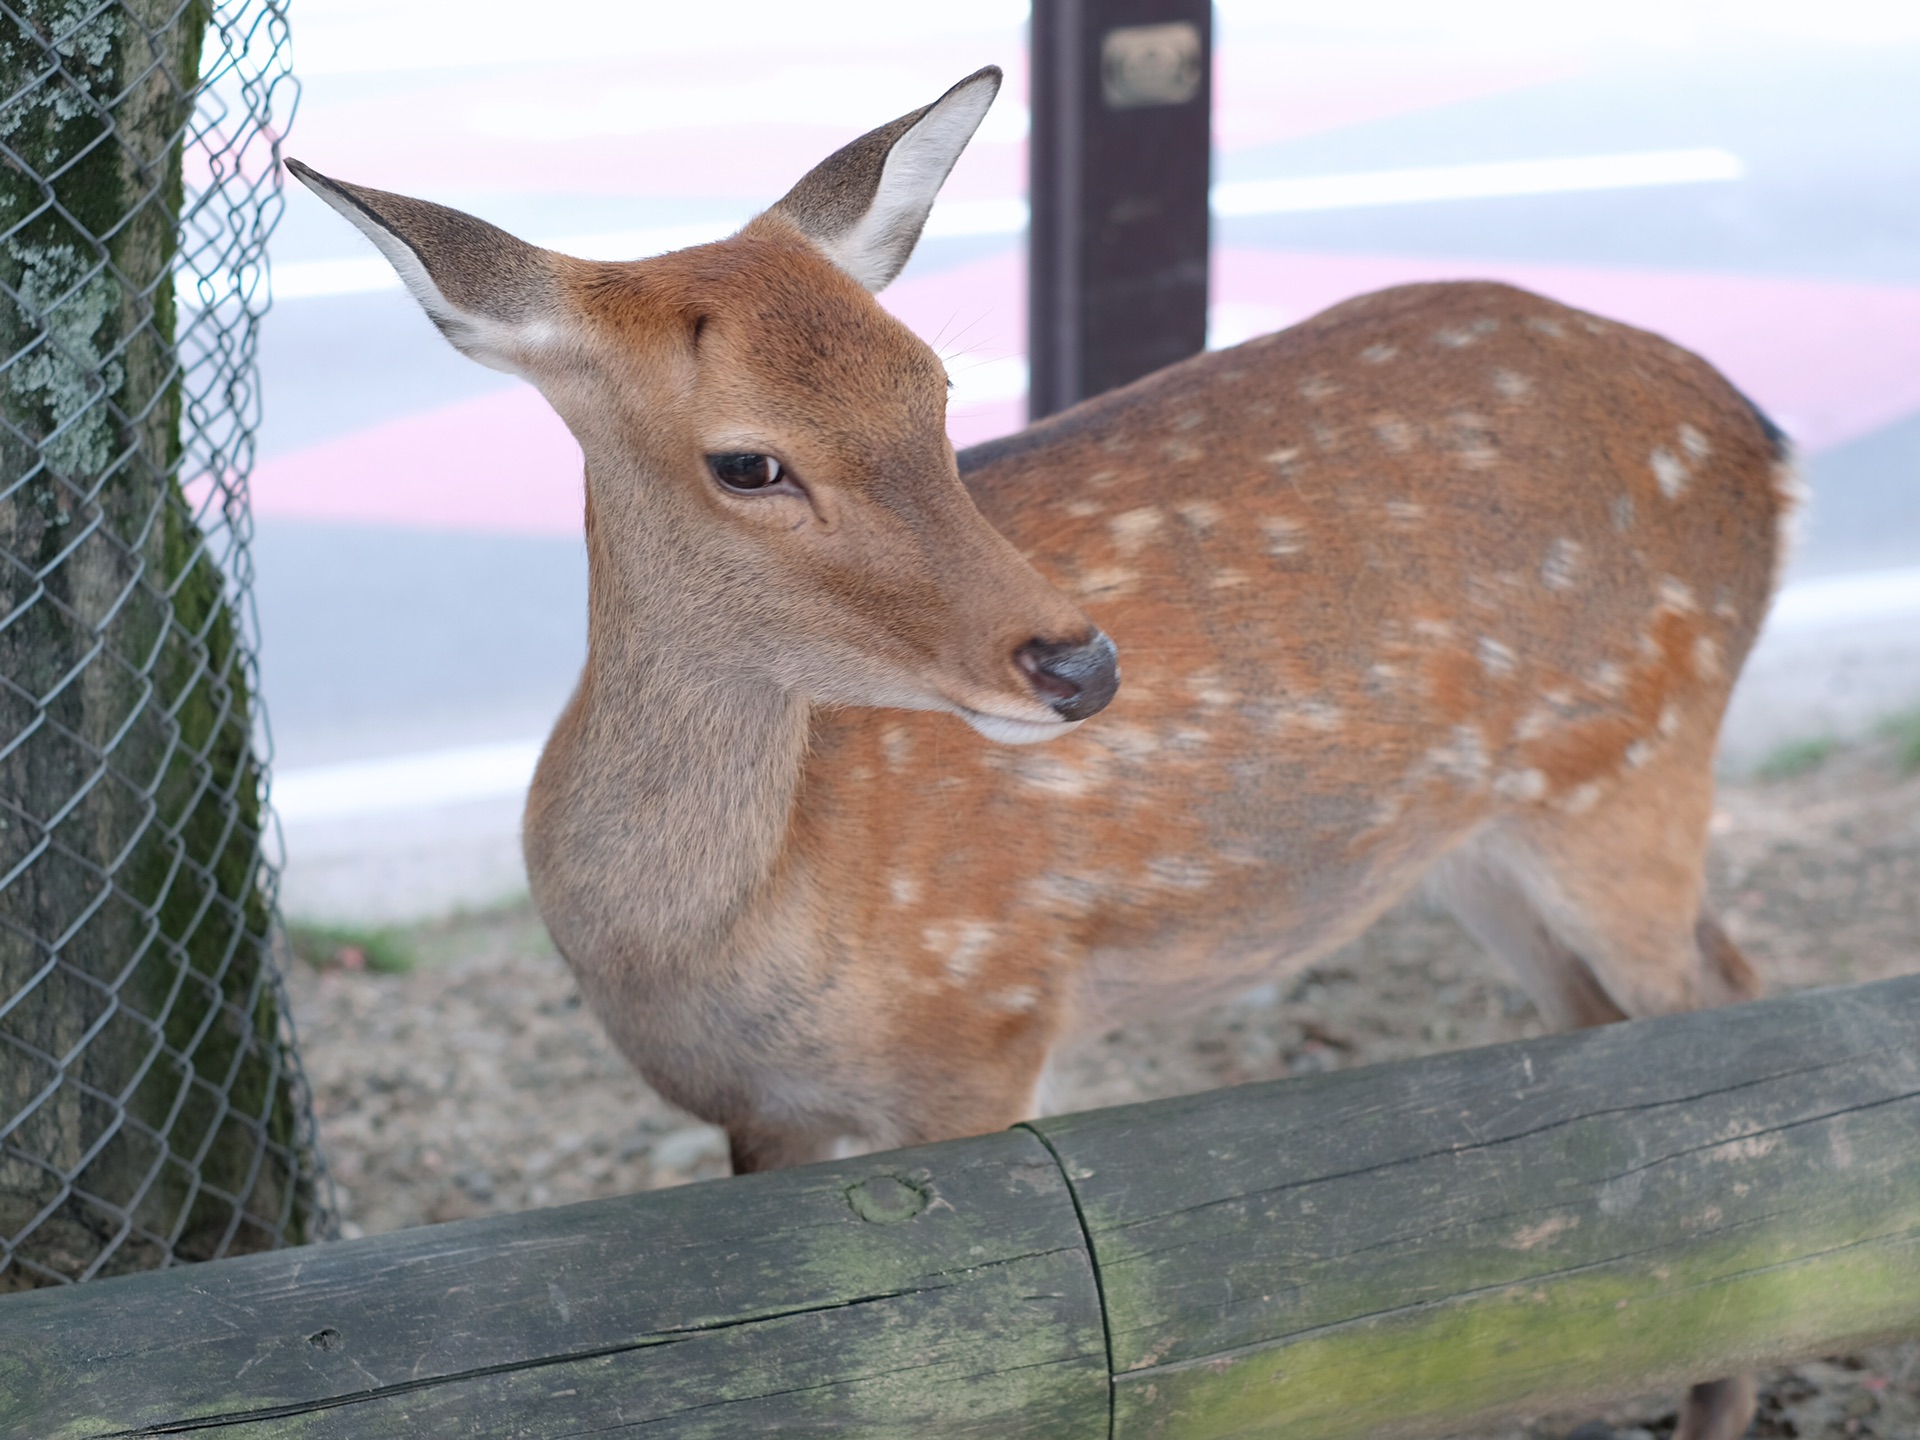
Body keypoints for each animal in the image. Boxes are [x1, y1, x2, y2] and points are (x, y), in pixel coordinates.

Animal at [288, 61, 1797, 1436]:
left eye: (936, 384)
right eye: (746, 461)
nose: (1082, 662)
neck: (704, 949)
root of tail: (1768, 442)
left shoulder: (985, 1031)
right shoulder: (758, 1118)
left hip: (1632, 757)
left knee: (1729, 1004)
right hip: (1484, 838)